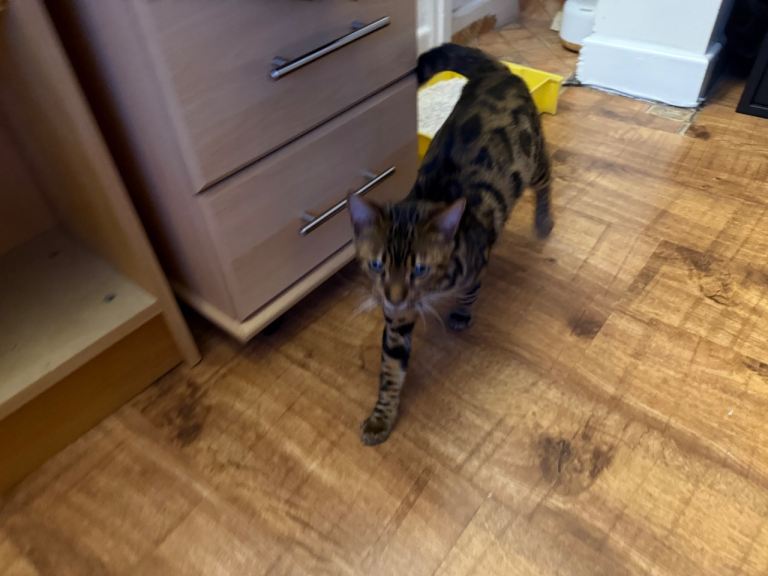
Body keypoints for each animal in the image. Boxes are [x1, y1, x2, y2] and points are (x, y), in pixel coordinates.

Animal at [348, 43, 553, 445]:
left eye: (421, 268)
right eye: (377, 265)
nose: (392, 297)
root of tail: (496, 71)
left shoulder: (478, 258)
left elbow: (472, 289)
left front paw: (461, 312)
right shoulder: (397, 320)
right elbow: (391, 370)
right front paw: (382, 417)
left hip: (532, 157)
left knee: (548, 176)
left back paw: (544, 220)